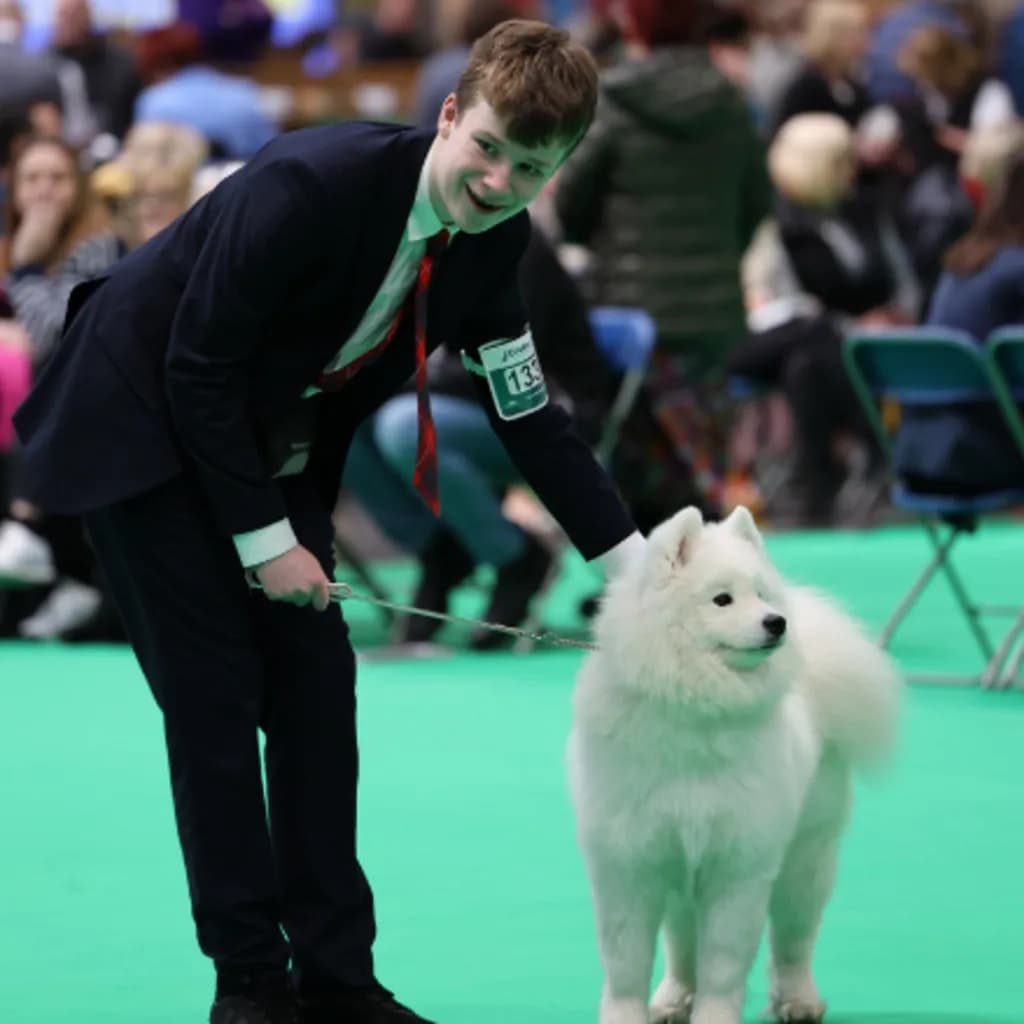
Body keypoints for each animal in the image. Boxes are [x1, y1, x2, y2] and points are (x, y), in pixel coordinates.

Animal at [573, 505, 901, 1024]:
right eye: (722, 599)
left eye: (761, 594)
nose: (777, 622)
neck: (695, 708)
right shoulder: (630, 862)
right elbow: (626, 960)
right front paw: (627, 1014)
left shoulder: (738, 863)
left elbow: (724, 962)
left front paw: (714, 1014)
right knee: (682, 943)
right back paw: (673, 998)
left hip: (804, 857)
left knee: (793, 940)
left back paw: (799, 1001)